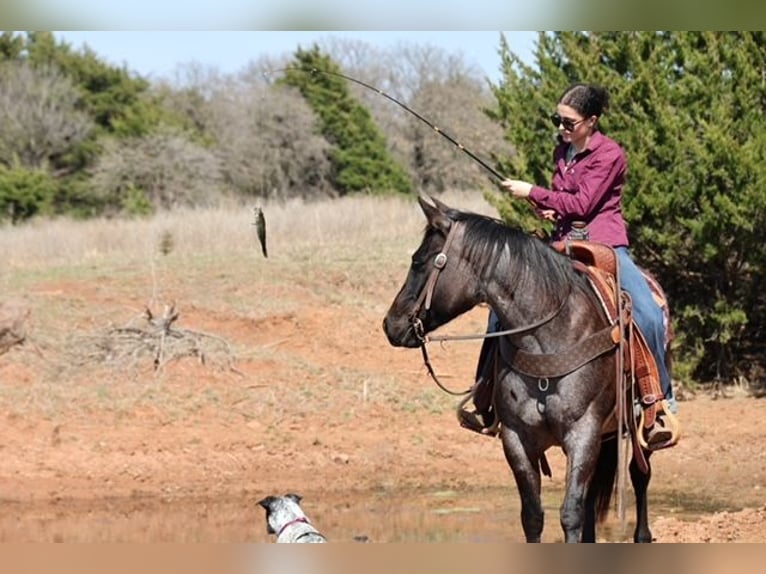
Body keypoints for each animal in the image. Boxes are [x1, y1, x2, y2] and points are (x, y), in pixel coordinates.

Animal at [382, 195, 660, 543]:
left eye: (419, 262)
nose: (390, 324)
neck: (548, 336)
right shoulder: (517, 438)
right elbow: (533, 516)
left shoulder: (583, 432)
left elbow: (570, 512)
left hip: (637, 426)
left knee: (640, 473)